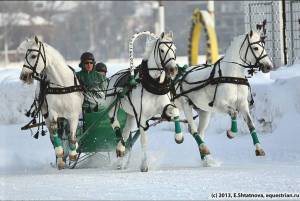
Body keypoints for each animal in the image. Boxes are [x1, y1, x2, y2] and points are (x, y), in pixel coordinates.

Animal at [18, 35, 84, 169]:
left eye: (33, 56)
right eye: (25, 56)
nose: (23, 76)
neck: (61, 85)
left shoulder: (73, 115)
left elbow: (72, 135)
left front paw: (73, 153)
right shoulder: (52, 114)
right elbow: (55, 134)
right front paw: (60, 156)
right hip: (48, 116)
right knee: (54, 137)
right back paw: (60, 158)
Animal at [104, 32, 182, 172]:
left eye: (174, 49)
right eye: (162, 50)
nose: (173, 69)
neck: (153, 84)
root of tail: (114, 76)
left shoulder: (163, 106)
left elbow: (174, 110)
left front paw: (179, 137)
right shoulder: (142, 117)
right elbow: (144, 141)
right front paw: (144, 165)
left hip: (130, 115)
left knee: (126, 131)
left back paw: (120, 156)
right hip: (113, 107)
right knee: (115, 123)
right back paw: (120, 148)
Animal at [173, 30, 274, 163]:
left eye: (263, 46)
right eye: (256, 48)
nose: (269, 66)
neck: (233, 76)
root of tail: (182, 74)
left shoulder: (243, 104)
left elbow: (251, 124)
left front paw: (259, 149)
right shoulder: (219, 104)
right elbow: (234, 113)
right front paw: (231, 133)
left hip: (204, 111)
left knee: (199, 132)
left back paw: (205, 157)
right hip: (185, 104)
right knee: (190, 127)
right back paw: (182, 138)